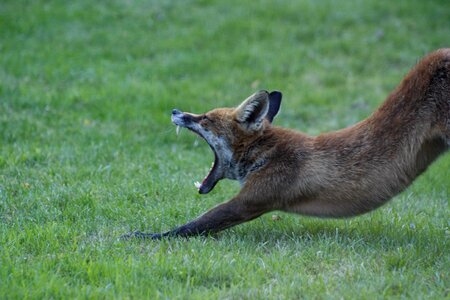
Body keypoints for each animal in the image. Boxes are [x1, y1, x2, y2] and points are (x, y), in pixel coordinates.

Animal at [121, 49, 448, 241]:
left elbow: (189, 226)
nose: (176, 111)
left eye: (205, 119)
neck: (268, 153)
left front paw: (143, 236)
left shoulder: (252, 200)